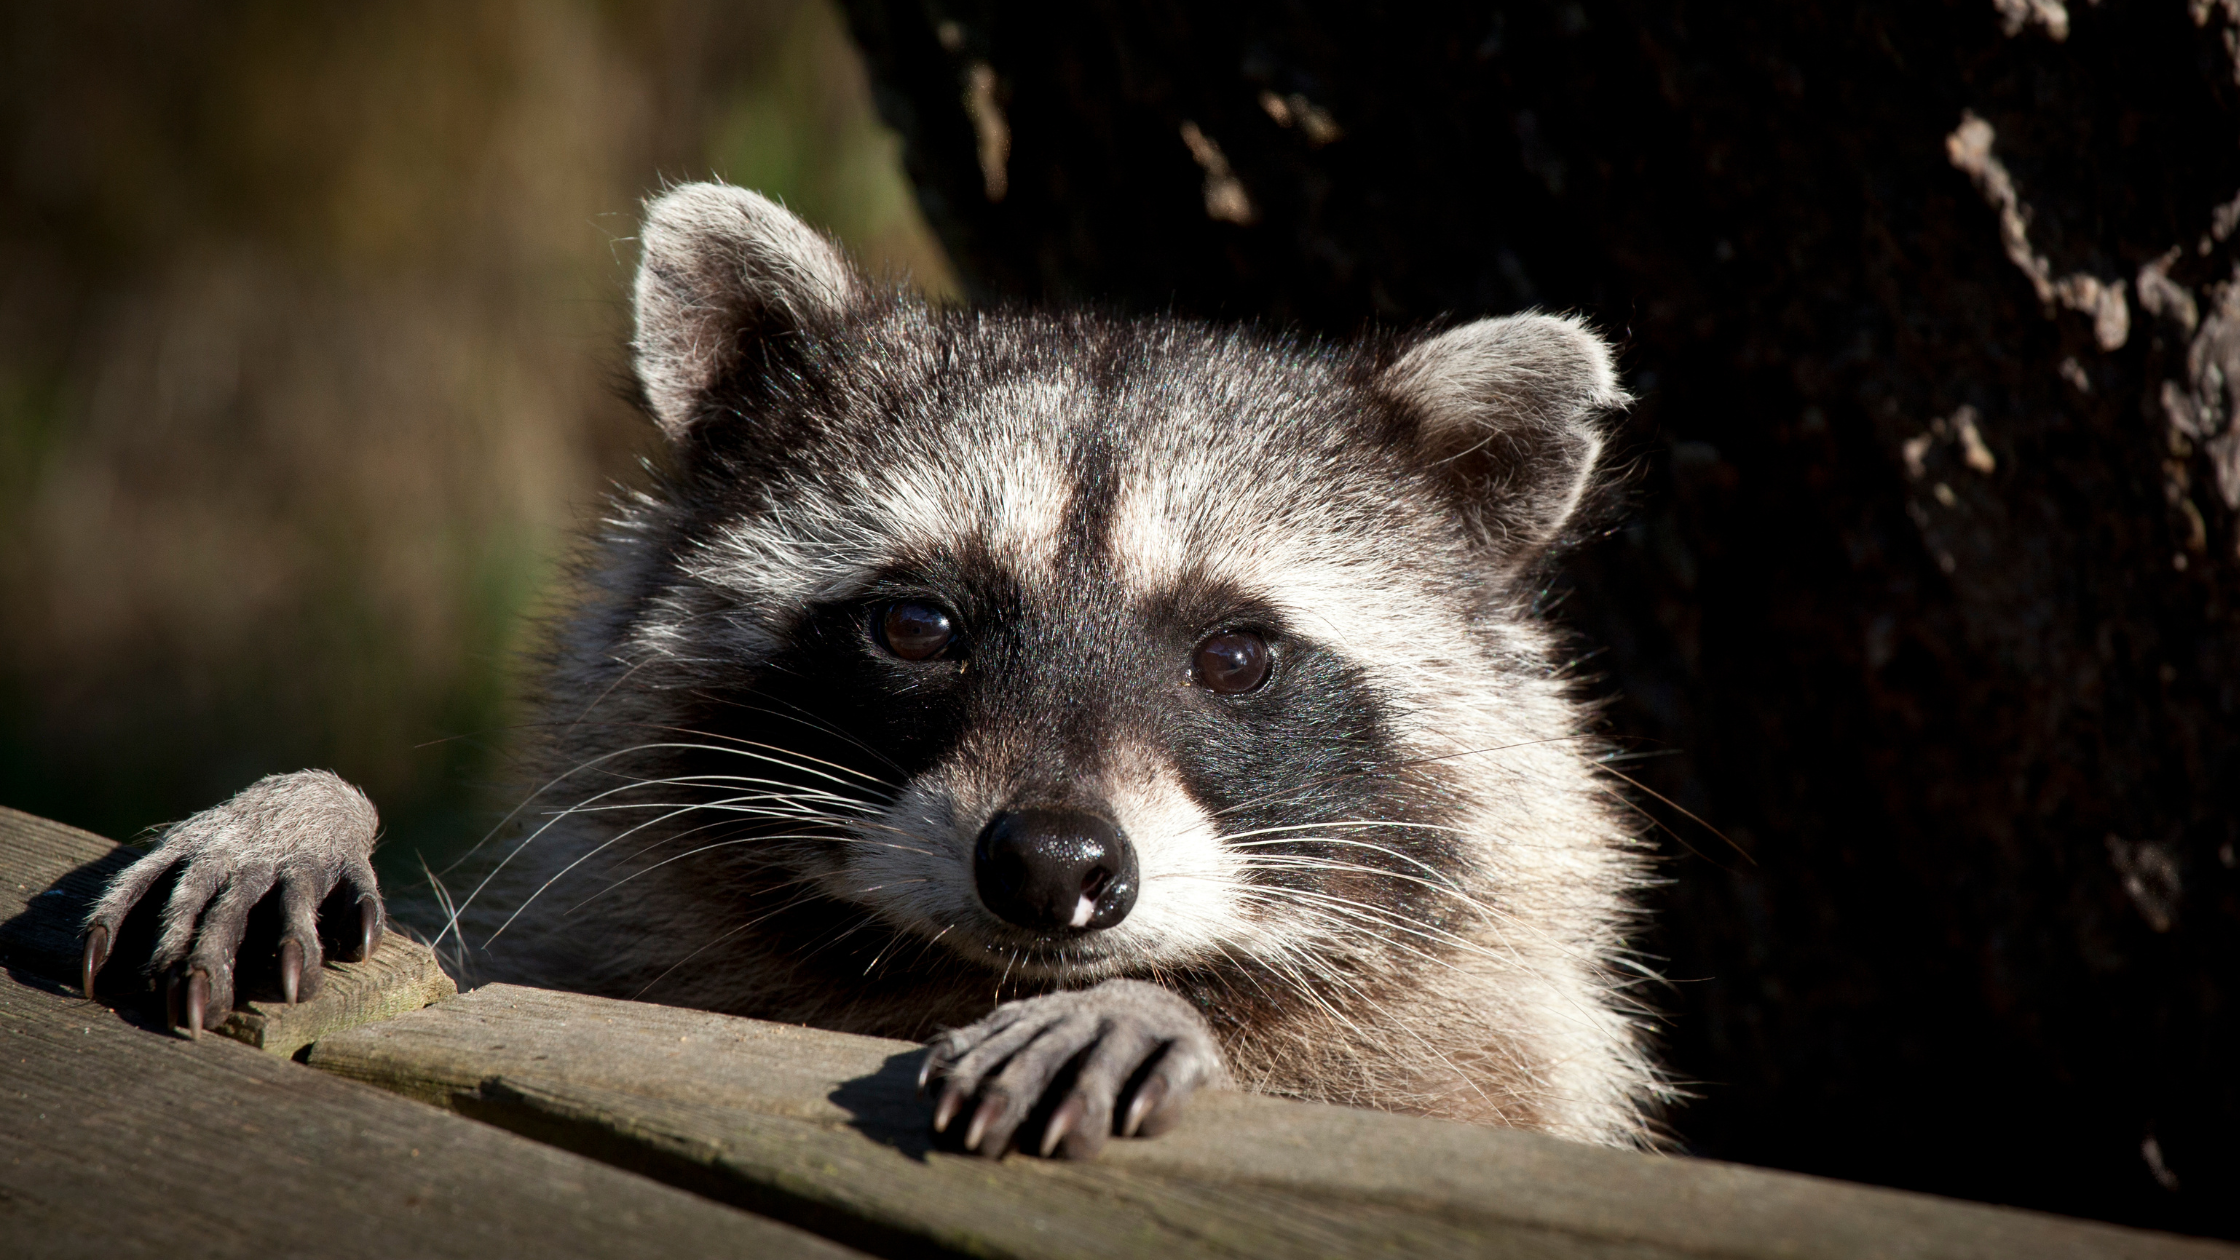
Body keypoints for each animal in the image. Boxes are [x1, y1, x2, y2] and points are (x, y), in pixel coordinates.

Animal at [87, 181, 1666, 1156]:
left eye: (1235, 655)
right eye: (917, 626)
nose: (1052, 865)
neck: (938, 976)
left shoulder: (1486, 1062)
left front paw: (1159, 1005)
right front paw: (307, 805)